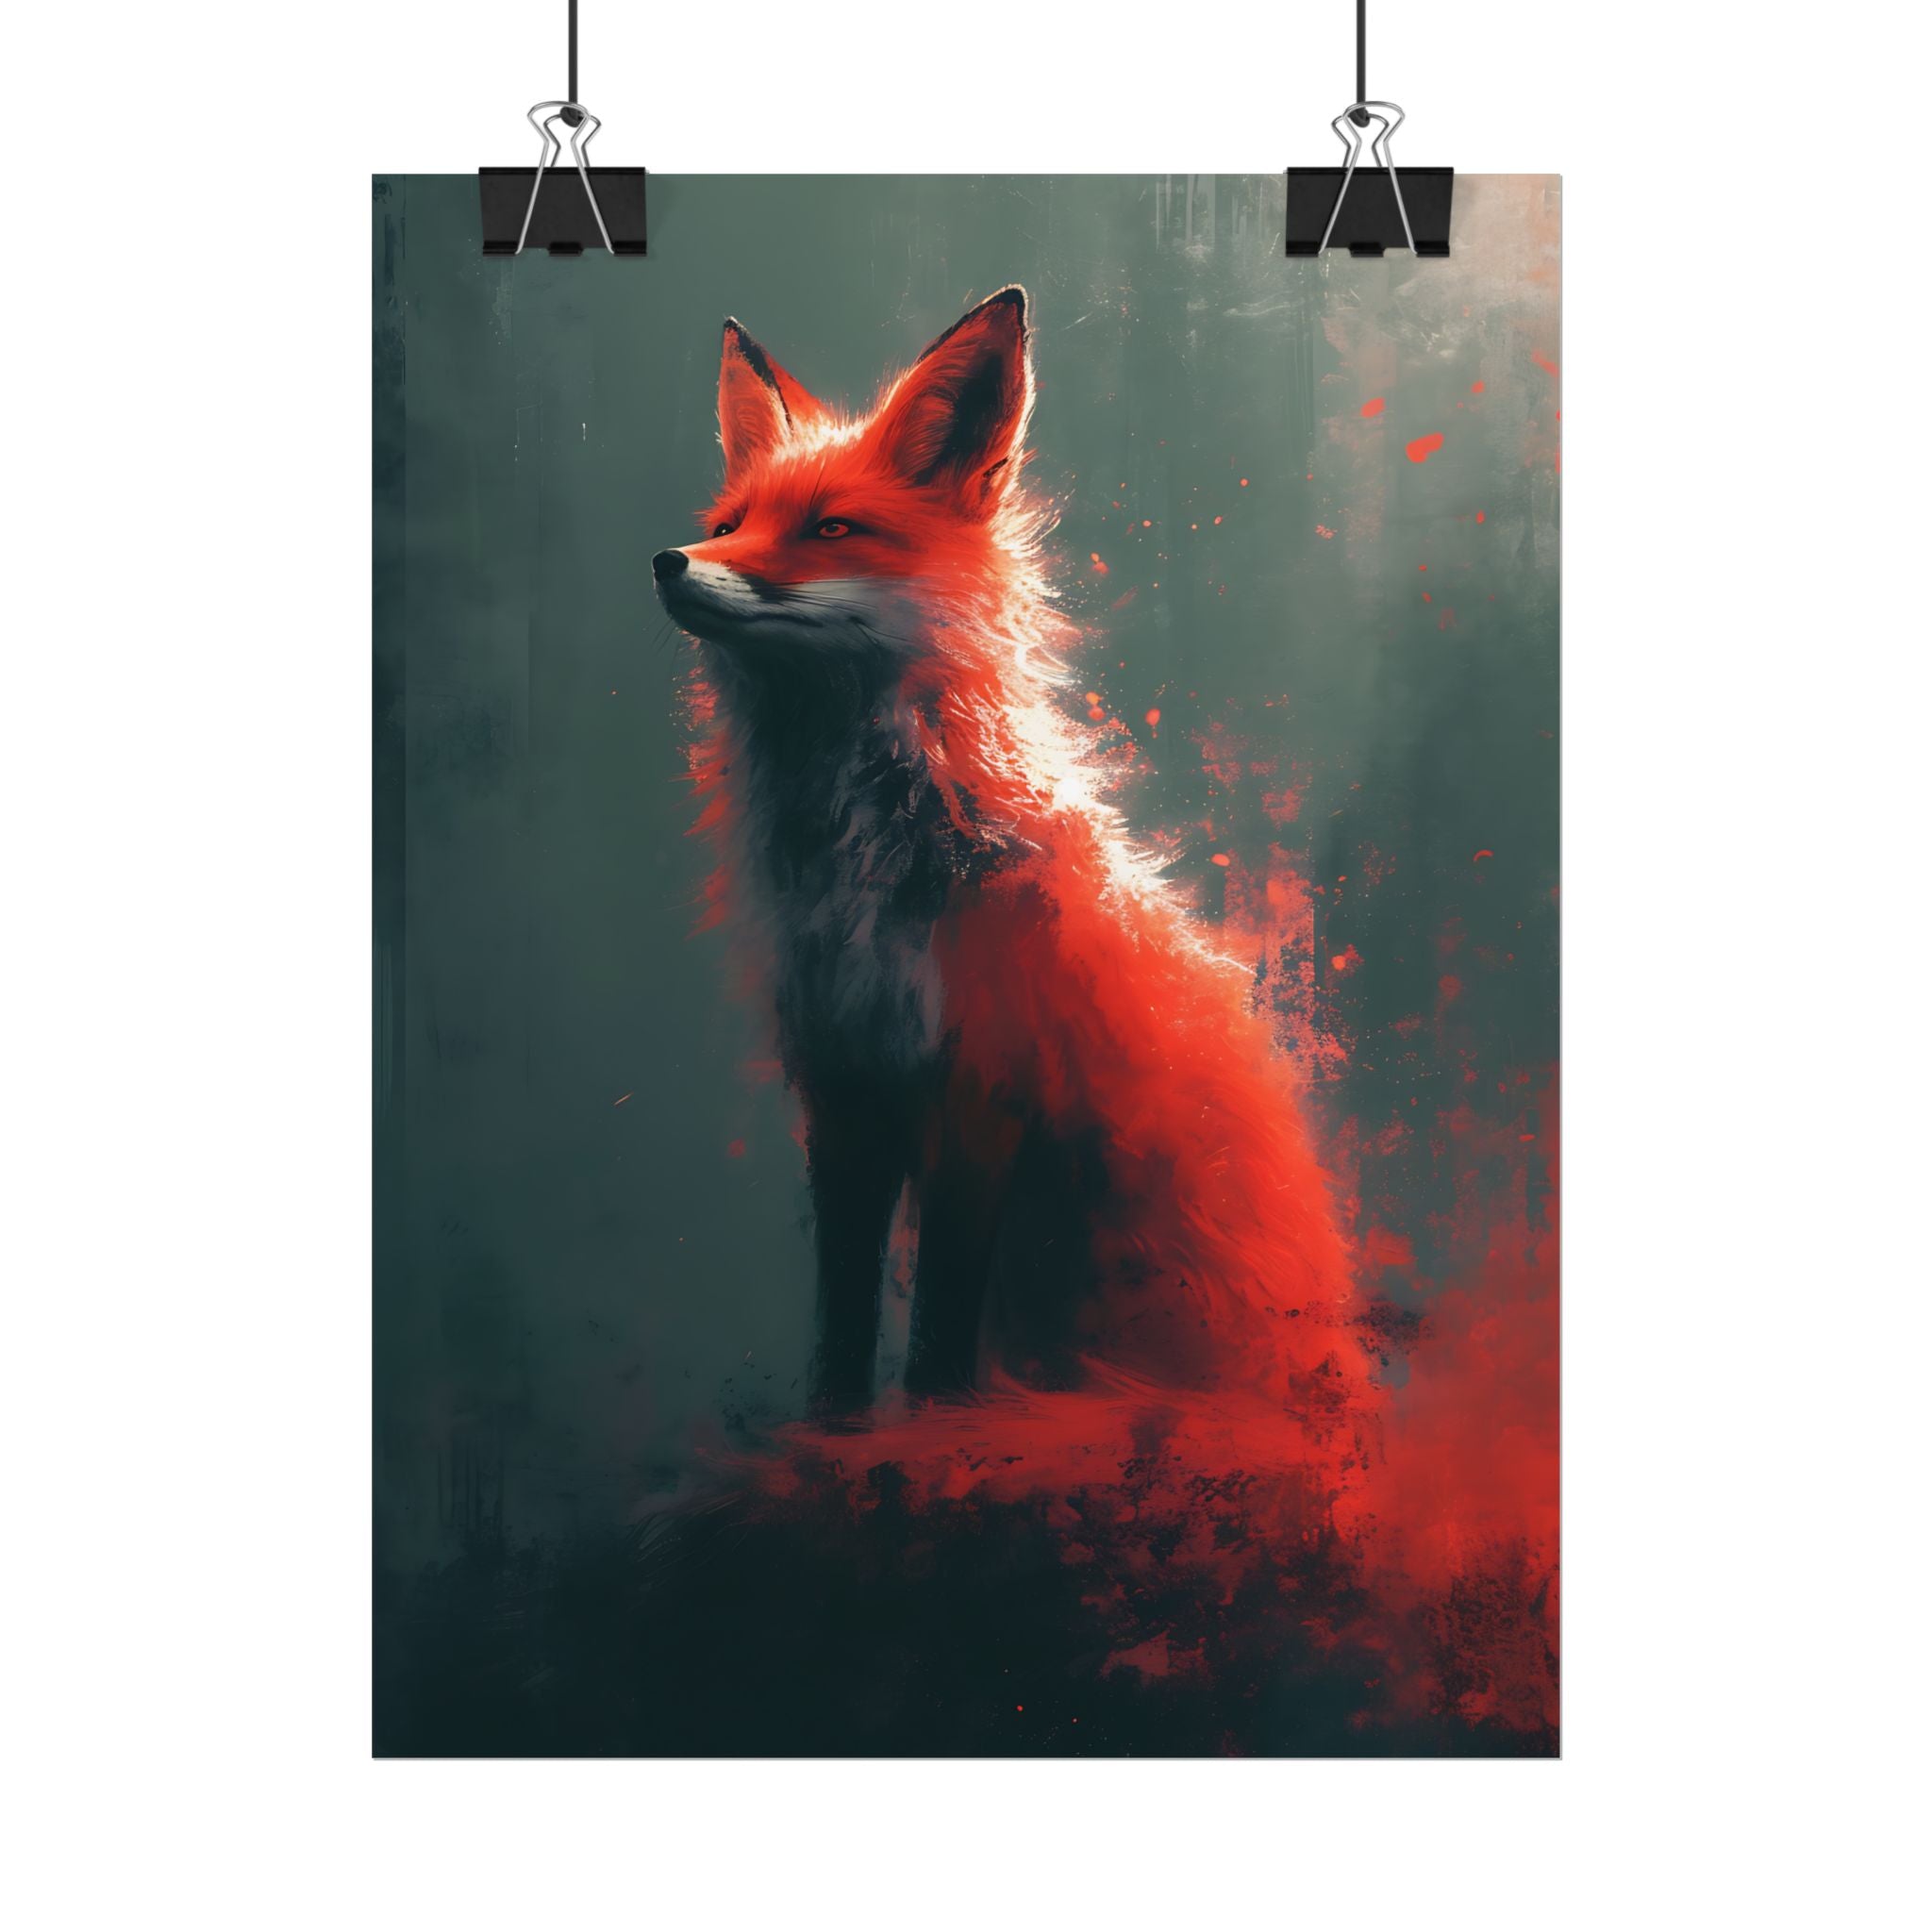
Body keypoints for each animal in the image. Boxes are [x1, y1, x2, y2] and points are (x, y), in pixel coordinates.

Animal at [653, 287, 1373, 1430]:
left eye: (830, 529)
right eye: (730, 526)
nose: (670, 561)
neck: (867, 868)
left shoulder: (981, 1085)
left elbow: (942, 1319)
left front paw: (935, 1425)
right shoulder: (842, 1085)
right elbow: (843, 1308)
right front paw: (834, 1428)